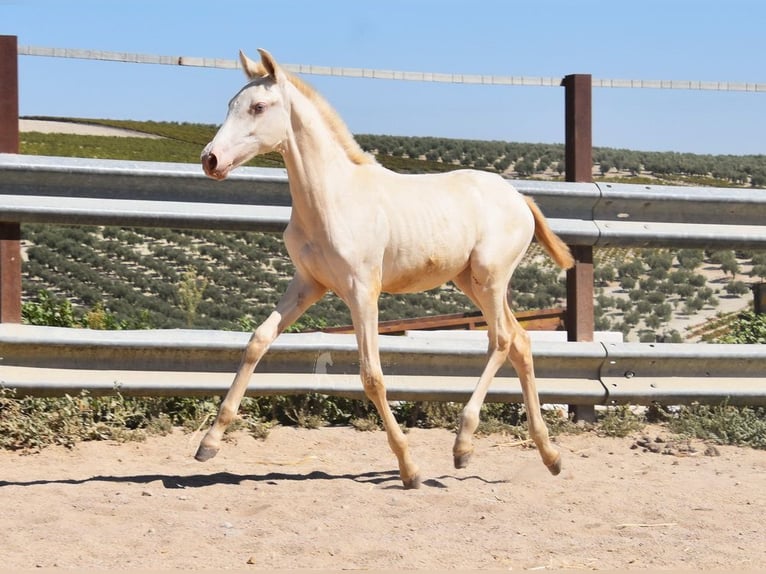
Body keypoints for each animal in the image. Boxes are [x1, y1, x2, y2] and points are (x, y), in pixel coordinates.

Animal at [198, 48, 576, 490]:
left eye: (258, 107)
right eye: (230, 105)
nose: (210, 159)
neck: (332, 198)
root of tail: (521, 198)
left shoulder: (362, 290)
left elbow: (372, 376)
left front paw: (409, 468)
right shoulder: (308, 284)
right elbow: (257, 341)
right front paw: (208, 444)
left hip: (490, 278)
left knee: (500, 340)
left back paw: (463, 445)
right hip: (471, 282)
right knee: (520, 341)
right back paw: (550, 455)